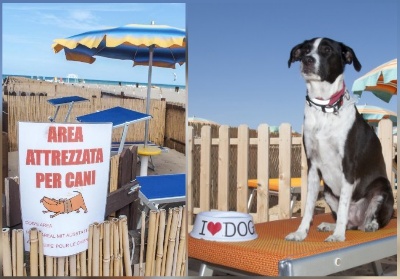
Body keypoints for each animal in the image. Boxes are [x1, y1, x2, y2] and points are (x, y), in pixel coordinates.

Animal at [286, 37, 392, 243]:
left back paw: (369, 225)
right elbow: (309, 206)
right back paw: (332, 225)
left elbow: (343, 206)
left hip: (382, 186)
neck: (324, 108)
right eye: (305, 50)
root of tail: (358, 220)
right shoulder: (312, 167)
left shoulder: (348, 166)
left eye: (327, 50)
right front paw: (301, 232)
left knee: (368, 218)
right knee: (349, 222)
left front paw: (338, 236)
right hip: (327, 190)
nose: (307, 60)